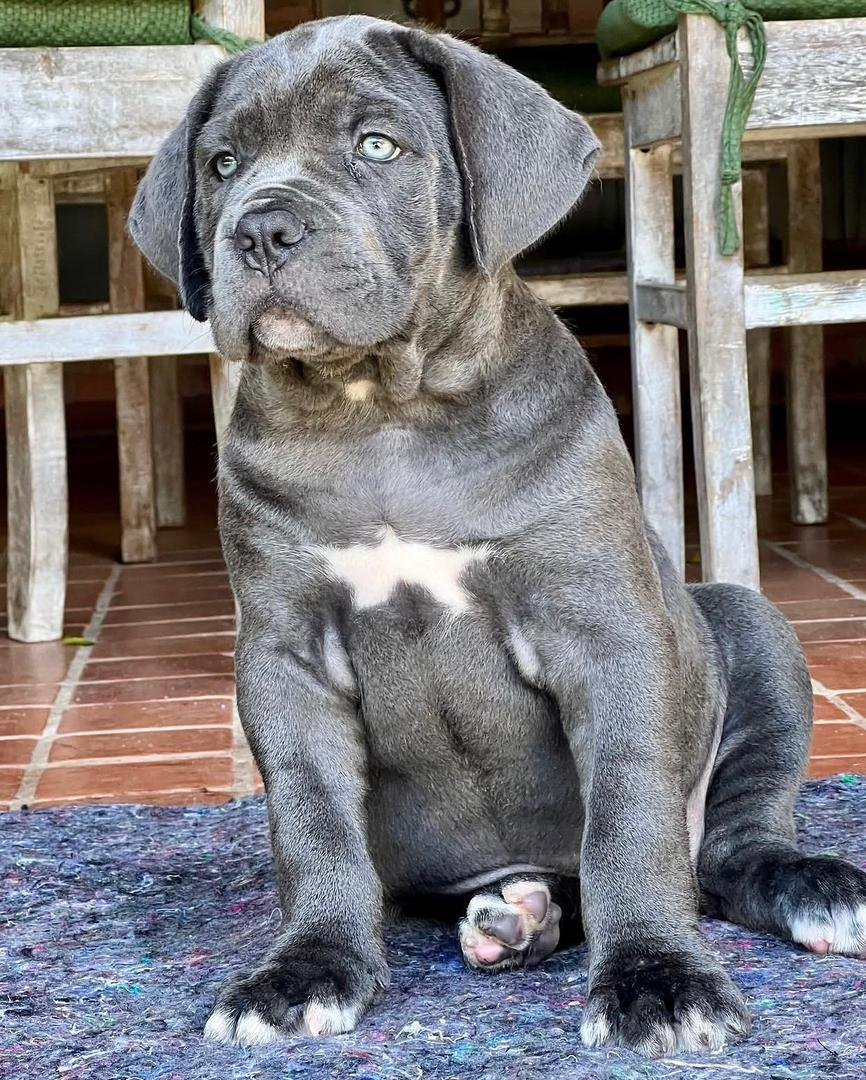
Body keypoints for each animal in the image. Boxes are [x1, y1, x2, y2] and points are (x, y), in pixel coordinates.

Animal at [129, 15, 866, 1057]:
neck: (381, 411)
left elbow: (629, 817)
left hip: (750, 629)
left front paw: (657, 979)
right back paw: (520, 917)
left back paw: (812, 889)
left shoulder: (605, 633)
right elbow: (313, 824)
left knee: (730, 846)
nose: (261, 228)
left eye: (377, 146)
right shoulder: (283, 658)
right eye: (222, 164)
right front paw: (305, 970)